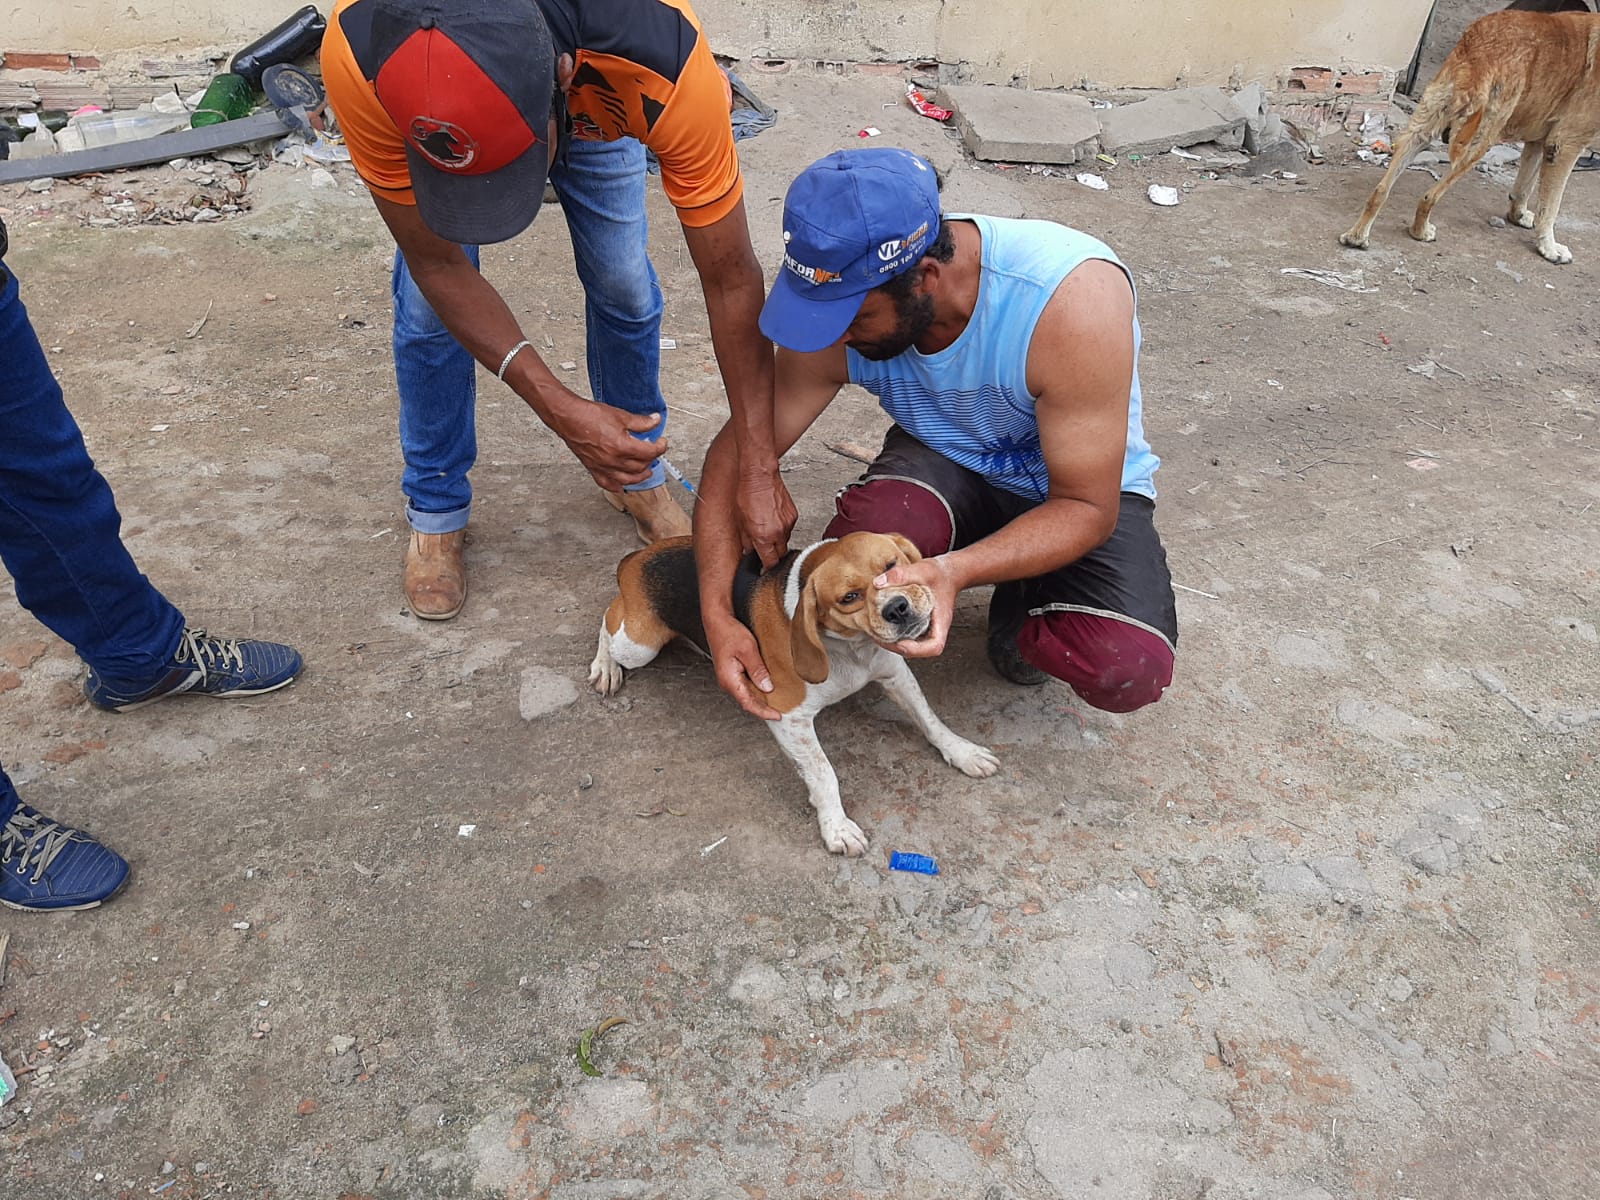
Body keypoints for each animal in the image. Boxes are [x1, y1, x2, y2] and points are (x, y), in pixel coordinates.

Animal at [588, 534, 998, 857]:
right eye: (849, 597)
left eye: (892, 565)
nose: (897, 608)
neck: (852, 650)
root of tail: (640, 556)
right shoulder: (789, 718)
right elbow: (822, 772)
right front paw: (837, 827)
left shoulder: (895, 673)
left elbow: (930, 720)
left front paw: (963, 752)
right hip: (639, 644)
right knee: (608, 620)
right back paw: (605, 666)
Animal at [1337, 10, 1600, 264]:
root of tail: (1478, 49)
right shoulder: (1565, 145)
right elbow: (1551, 207)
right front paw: (1549, 248)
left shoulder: (1538, 142)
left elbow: (1524, 186)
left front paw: (1518, 215)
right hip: (1478, 143)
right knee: (1429, 197)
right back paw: (1419, 231)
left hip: (1422, 129)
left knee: (1381, 190)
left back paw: (1357, 237)